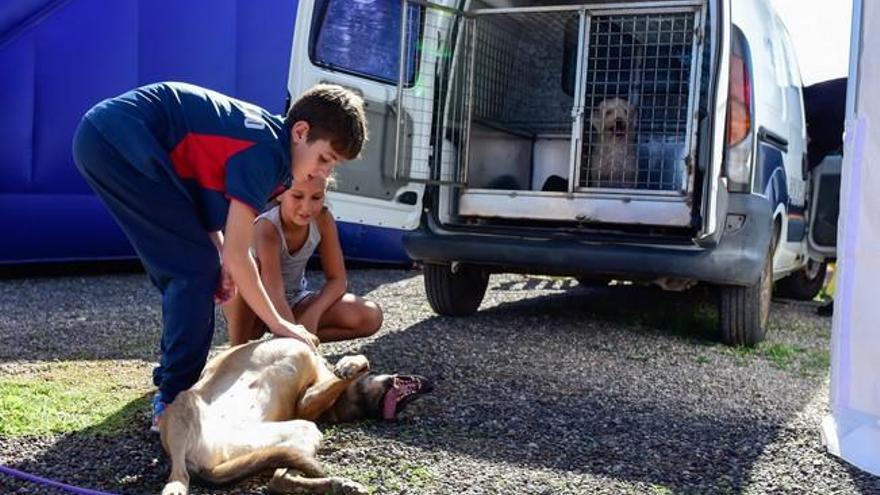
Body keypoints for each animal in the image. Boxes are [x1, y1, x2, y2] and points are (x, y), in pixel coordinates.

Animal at [161, 340, 434, 494]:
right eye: (401, 401)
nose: (430, 385)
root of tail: (208, 463)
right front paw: (349, 363)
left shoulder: (305, 405)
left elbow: (358, 364)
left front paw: (349, 365)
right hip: (185, 403)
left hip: (300, 431)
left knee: (277, 480)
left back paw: (339, 485)